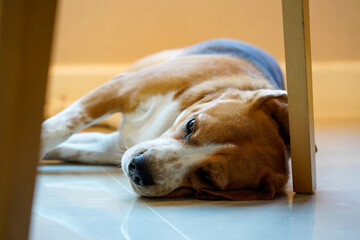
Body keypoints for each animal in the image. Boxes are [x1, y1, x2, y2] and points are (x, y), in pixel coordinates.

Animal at [41, 39, 290, 201]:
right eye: (191, 125)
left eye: (207, 177)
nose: (138, 170)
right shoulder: (120, 88)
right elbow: (58, 128)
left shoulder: (110, 148)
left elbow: (64, 146)